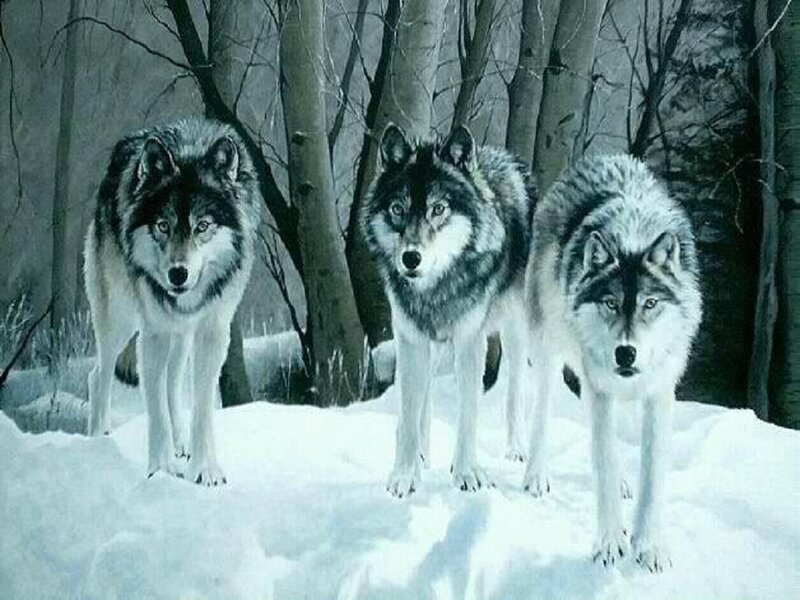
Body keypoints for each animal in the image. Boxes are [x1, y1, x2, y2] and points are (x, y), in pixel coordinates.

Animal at [84, 117, 262, 485]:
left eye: (202, 226)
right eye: (163, 226)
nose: (177, 275)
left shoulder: (212, 331)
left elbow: (202, 407)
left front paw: (205, 470)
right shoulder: (154, 332)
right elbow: (155, 413)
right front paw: (161, 471)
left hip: (181, 338)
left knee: (172, 383)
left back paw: (182, 445)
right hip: (121, 321)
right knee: (99, 374)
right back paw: (98, 440)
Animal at [362, 123, 537, 497]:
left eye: (438, 209)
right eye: (397, 209)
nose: (411, 258)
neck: (434, 291)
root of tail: (502, 155)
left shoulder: (470, 341)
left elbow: (468, 413)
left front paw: (467, 474)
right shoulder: (411, 340)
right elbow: (409, 412)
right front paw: (405, 475)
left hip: (515, 333)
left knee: (515, 389)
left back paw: (516, 450)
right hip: (433, 348)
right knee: (424, 397)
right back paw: (423, 455)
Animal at [525, 154, 701, 570]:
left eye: (650, 303)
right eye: (610, 303)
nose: (625, 353)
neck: (631, 234)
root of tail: (602, 158)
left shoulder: (658, 393)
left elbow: (652, 477)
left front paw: (649, 547)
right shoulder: (600, 388)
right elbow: (603, 463)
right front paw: (609, 545)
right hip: (548, 350)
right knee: (542, 413)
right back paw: (536, 476)